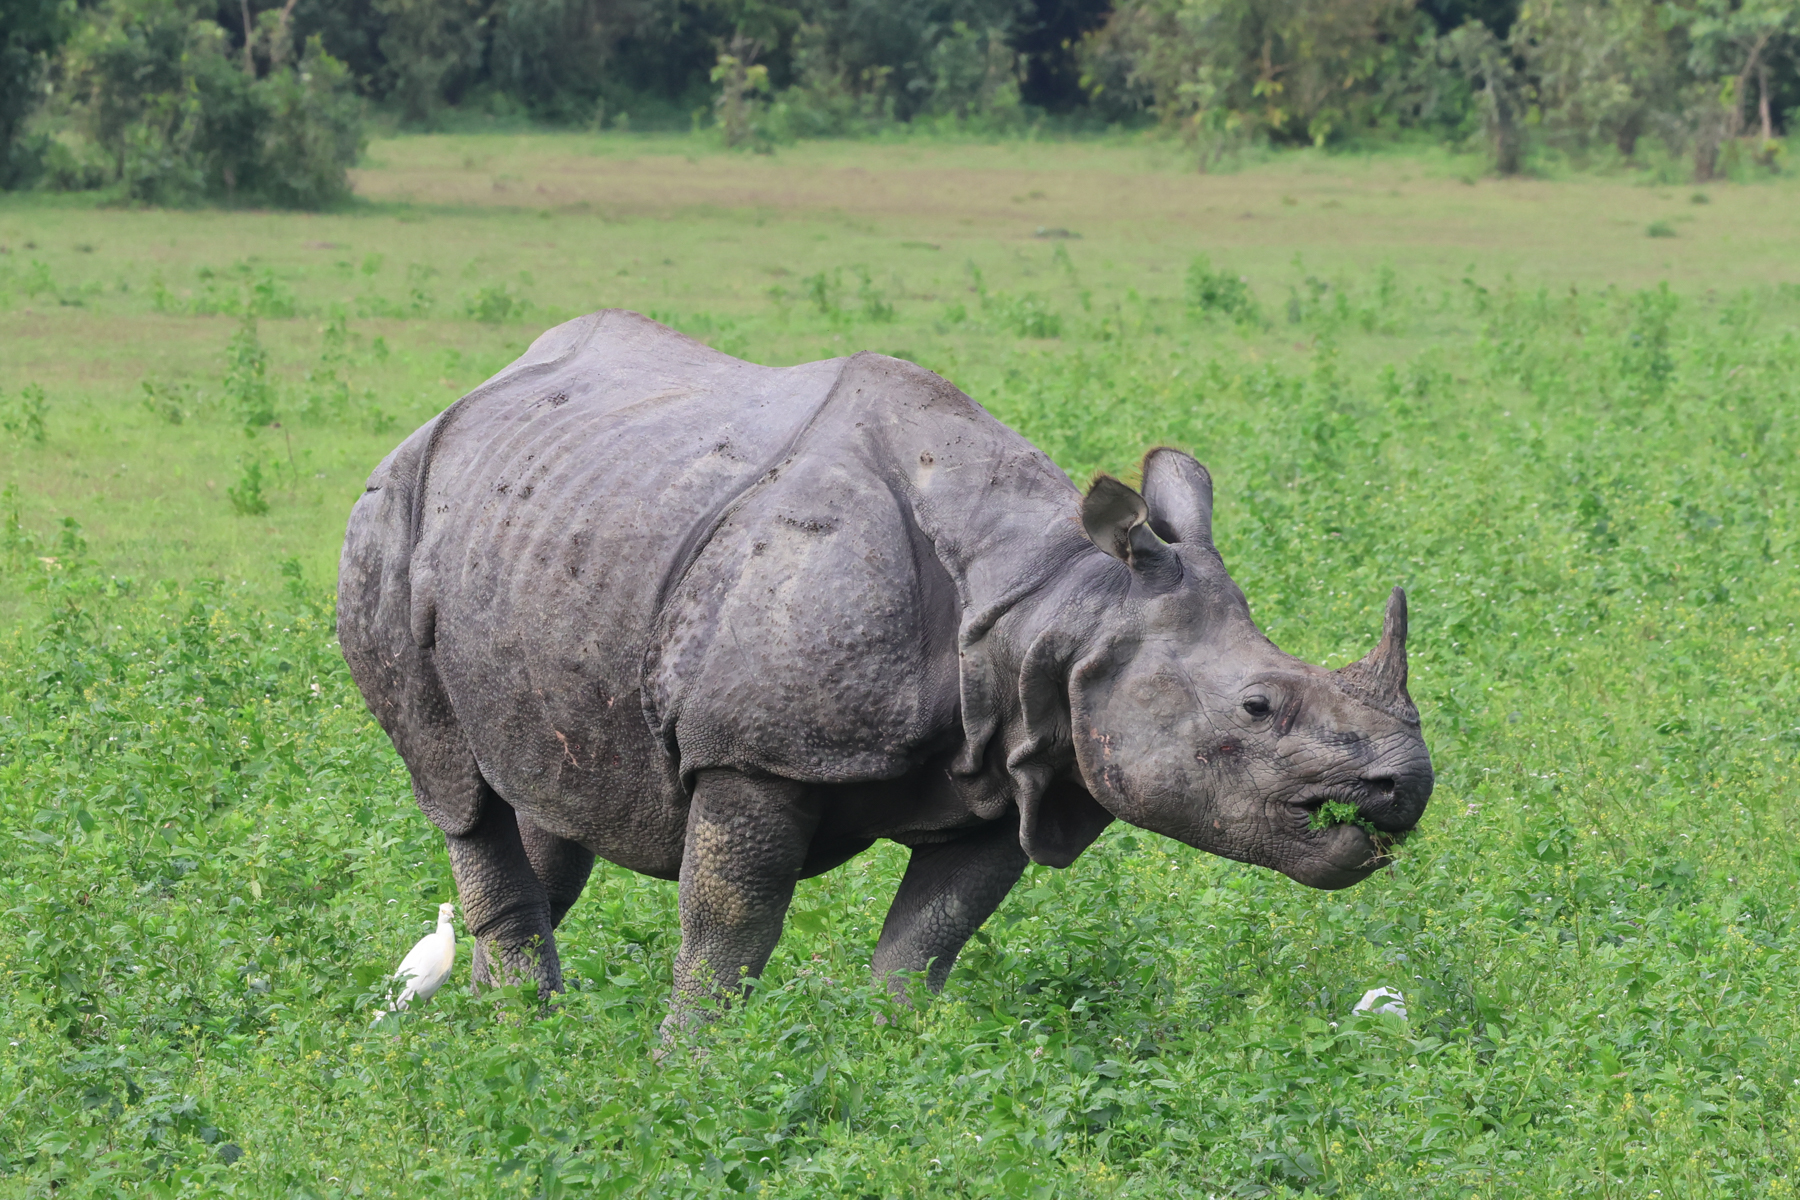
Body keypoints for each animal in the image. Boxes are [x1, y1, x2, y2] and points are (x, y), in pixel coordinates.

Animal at [338, 310, 1432, 1028]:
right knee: (455, 787)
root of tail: (461, 400)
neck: (1062, 607)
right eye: (1257, 705)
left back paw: (508, 1035)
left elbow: (929, 941)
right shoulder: (753, 753)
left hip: (555, 521)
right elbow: (730, 924)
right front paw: (690, 1073)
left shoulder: (1019, 763)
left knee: (545, 783)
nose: (1405, 786)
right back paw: (520, 1037)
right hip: (389, 512)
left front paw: (892, 1066)